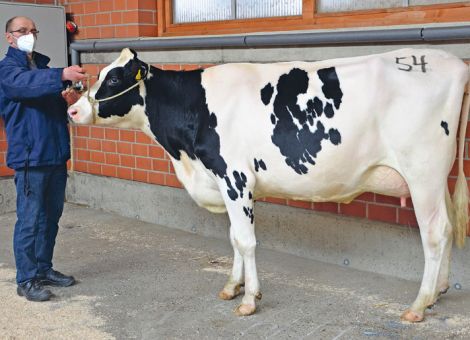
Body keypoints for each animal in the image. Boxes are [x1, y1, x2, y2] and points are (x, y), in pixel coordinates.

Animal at [68, 47, 468, 322]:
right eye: (100, 72)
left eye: (114, 79)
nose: (73, 109)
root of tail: (453, 63)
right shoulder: (230, 183)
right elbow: (234, 238)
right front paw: (233, 286)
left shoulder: (234, 177)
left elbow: (246, 241)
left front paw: (249, 300)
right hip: (438, 179)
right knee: (449, 227)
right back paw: (438, 291)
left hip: (422, 172)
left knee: (435, 233)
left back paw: (418, 304)